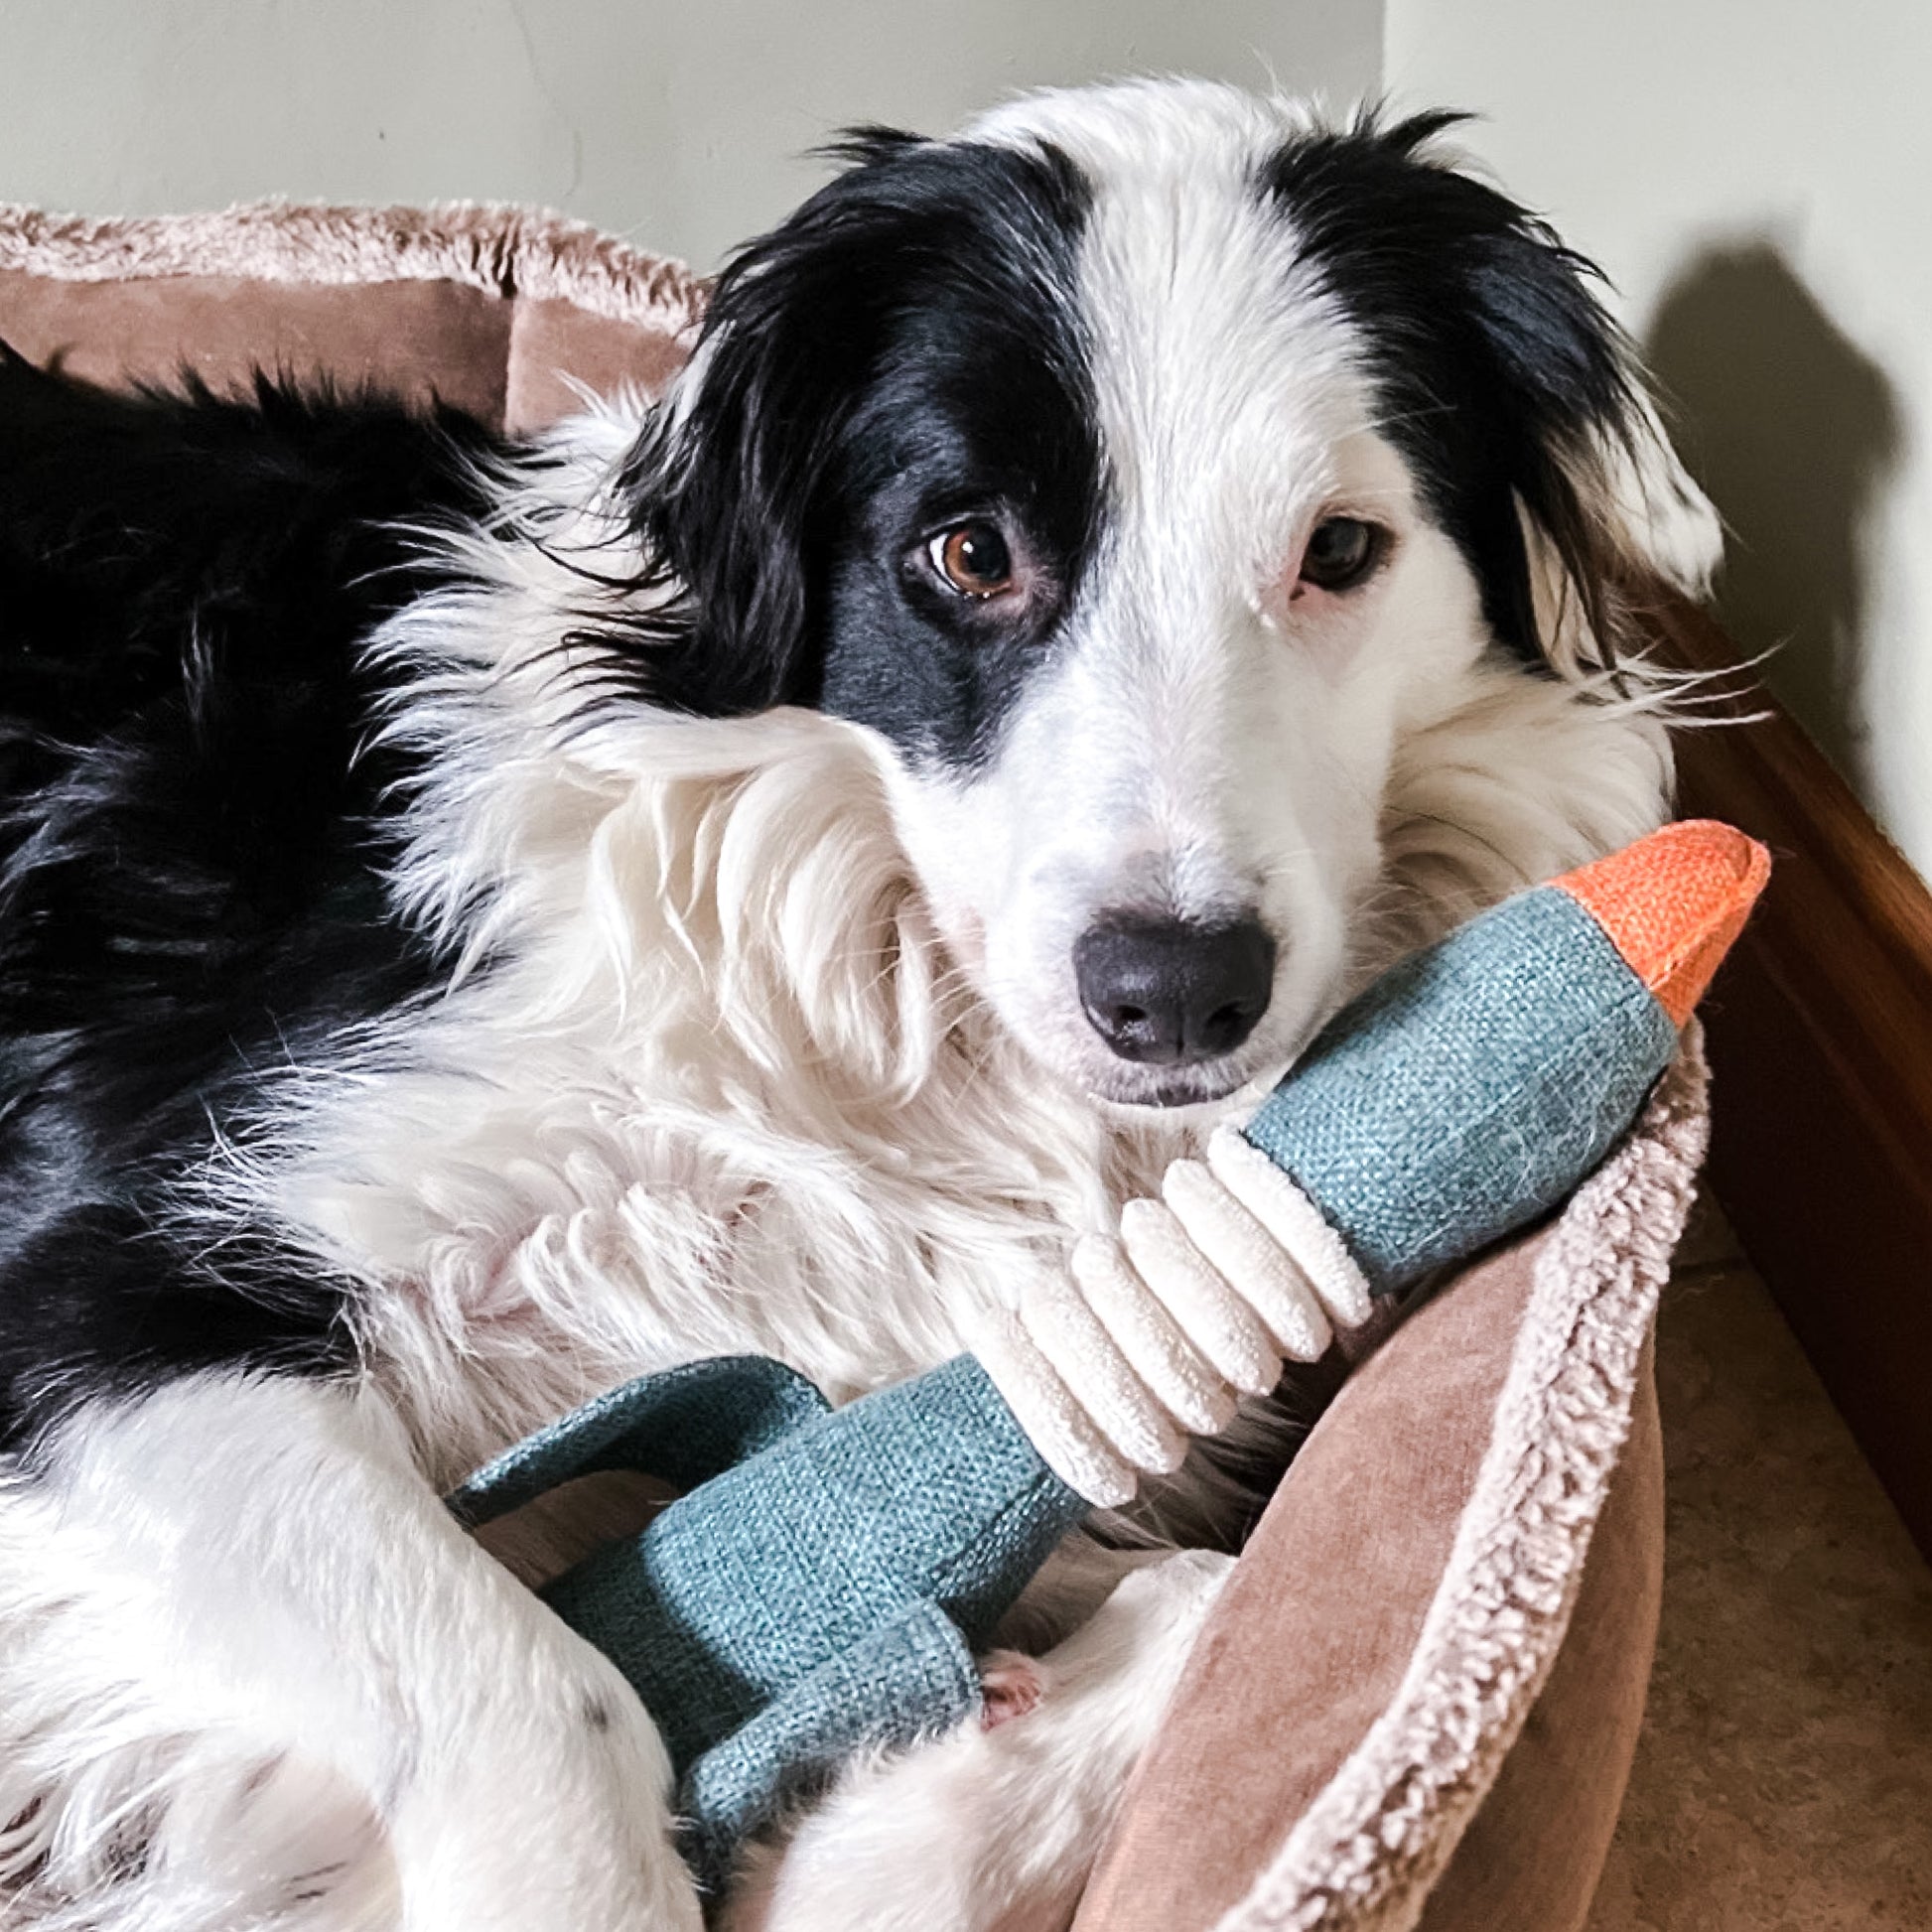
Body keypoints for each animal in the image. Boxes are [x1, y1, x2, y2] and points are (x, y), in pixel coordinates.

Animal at [3, 82, 1723, 1932]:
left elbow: (1200, 1585)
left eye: (1339, 550)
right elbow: (544, 1700)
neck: (889, 1010)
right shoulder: (106, 1275)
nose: (1177, 995)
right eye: (966, 552)